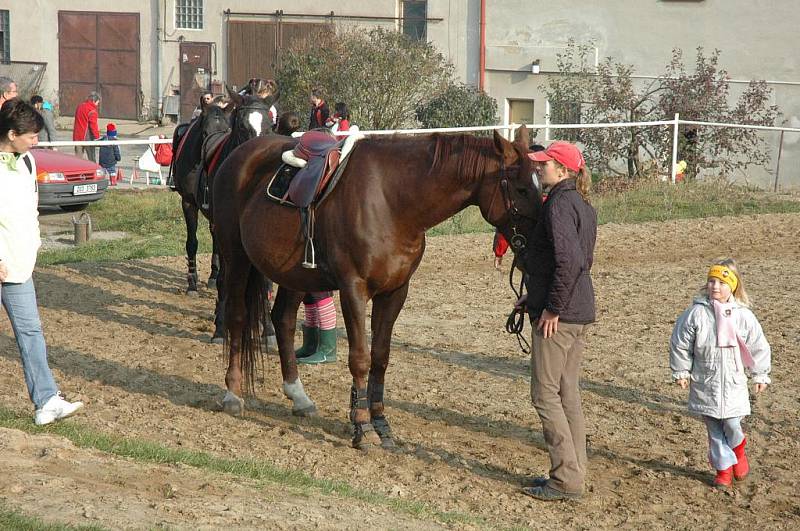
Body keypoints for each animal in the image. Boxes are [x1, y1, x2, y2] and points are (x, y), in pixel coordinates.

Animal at [211, 127, 536, 450]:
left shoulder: (395, 292)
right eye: (522, 189)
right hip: (236, 256)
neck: (392, 201)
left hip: (295, 273)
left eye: (539, 186)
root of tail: (239, 155)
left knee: (283, 320)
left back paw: (299, 397)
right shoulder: (353, 289)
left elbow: (380, 358)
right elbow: (360, 359)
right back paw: (233, 394)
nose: (536, 249)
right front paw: (362, 426)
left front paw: (381, 424)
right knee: (237, 317)